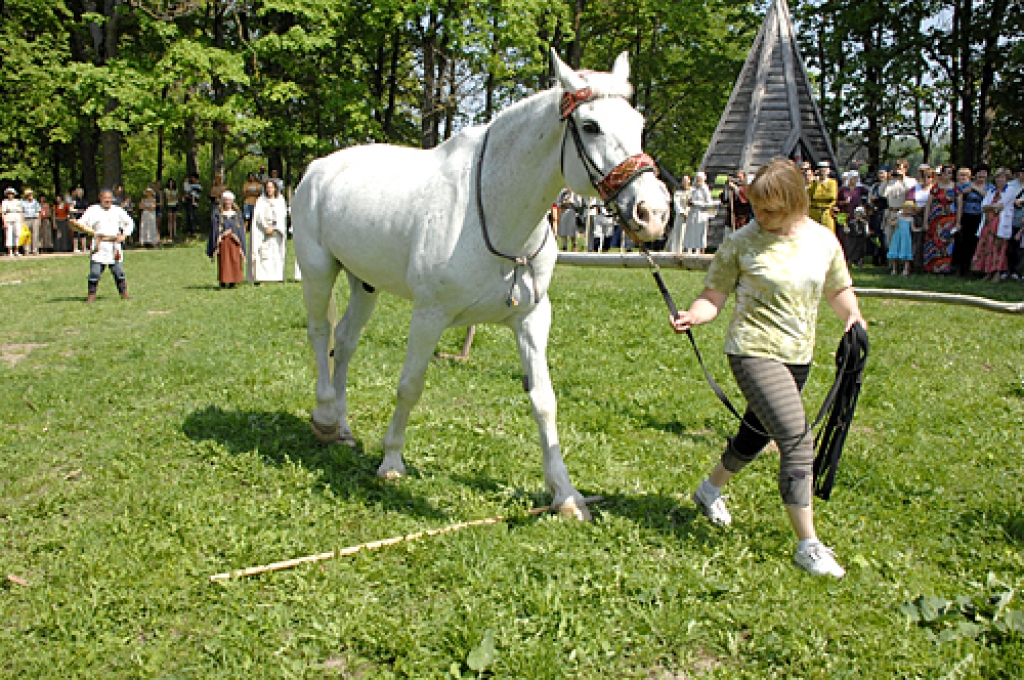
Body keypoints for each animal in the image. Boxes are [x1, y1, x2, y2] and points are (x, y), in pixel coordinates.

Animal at [292, 51, 667, 520]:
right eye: (590, 125)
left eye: (637, 122)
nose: (653, 213)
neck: (493, 210)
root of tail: (317, 169)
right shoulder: (429, 315)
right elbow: (409, 385)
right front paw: (392, 461)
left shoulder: (531, 318)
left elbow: (544, 401)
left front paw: (565, 494)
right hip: (318, 270)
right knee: (320, 333)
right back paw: (325, 418)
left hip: (364, 283)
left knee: (344, 340)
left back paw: (342, 427)